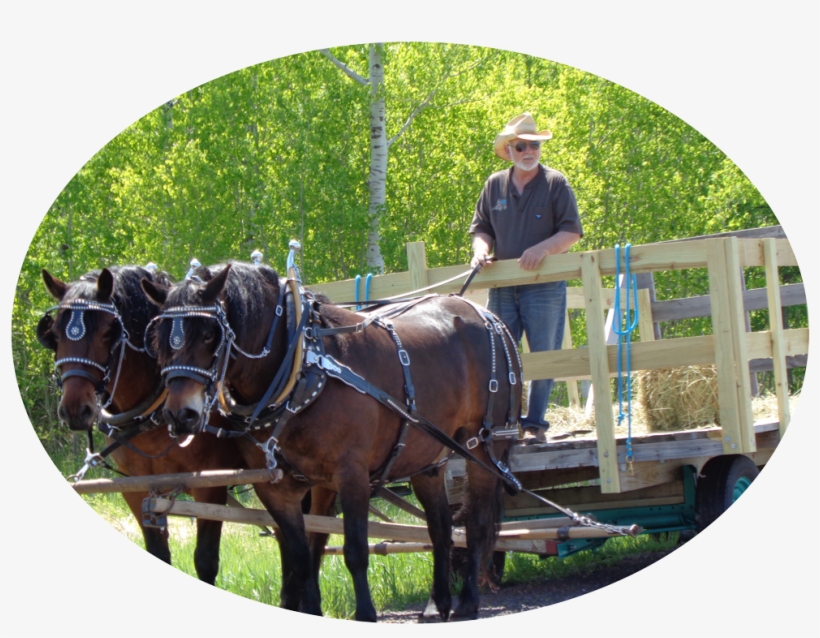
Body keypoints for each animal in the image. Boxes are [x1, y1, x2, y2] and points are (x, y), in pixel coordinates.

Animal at [36, 265, 248, 584]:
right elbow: (159, 553)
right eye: (55, 334)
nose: (75, 409)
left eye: (108, 332)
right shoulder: (137, 489)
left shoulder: (211, 487)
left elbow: (206, 561)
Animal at [141, 260, 523, 621]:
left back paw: (468, 601)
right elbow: (301, 555)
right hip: (427, 456)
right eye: (158, 337)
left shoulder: (351, 475)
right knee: (440, 527)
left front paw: (365, 614)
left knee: (476, 525)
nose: (180, 414)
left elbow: (354, 551)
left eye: (210, 334)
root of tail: (487, 316)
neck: (302, 369)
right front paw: (311, 610)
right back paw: (436, 604)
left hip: (483, 448)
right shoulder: (277, 489)